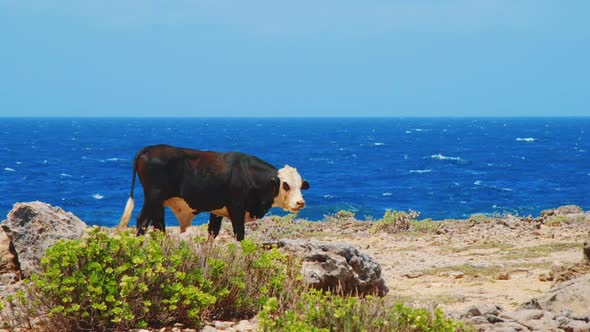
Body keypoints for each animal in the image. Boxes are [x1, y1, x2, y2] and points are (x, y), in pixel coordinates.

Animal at [115, 144, 310, 240]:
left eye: (301, 185)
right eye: (286, 185)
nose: (300, 202)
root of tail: (151, 148)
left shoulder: (217, 211)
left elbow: (212, 232)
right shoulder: (236, 207)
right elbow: (239, 233)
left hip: (160, 201)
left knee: (158, 224)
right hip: (153, 196)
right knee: (142, 220)